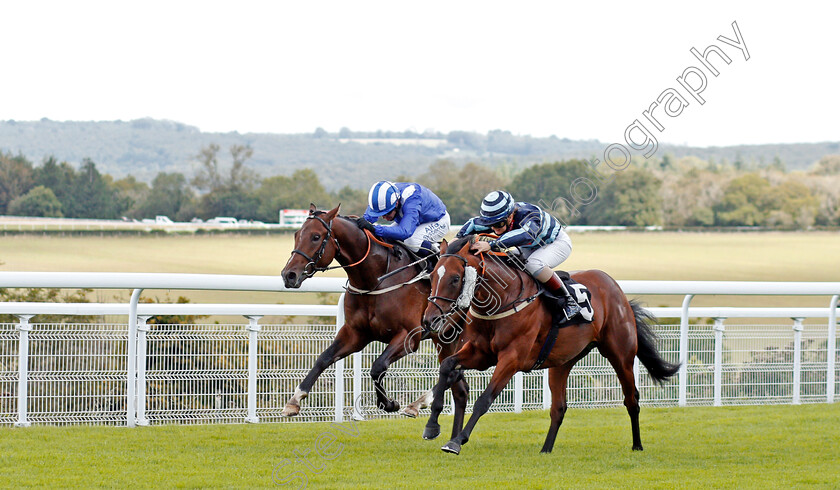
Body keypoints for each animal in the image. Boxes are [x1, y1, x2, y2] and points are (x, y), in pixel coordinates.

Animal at [280, 204, 466, 436]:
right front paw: (294, 400)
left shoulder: (408, 336)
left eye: (316, 236)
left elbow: (377, 366)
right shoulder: (355, 333)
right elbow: (323, 359)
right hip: (444, 336)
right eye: (297, 234)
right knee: (457, 375)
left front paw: (389, 404)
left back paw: (417, 404)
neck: (375, 279)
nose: (289, 275)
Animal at [424, 235, 680, 454]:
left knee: (631, 398)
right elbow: (447, 366)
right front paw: (432, 425)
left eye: (455, 278)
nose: (429, 320)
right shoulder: (481, 354)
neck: (503, 299)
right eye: (433, 275)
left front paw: (456, 441)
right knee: (559, 408)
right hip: (561, 363)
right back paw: (546, 449)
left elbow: (484, 400)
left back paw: (637, 445)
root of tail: (616, 289)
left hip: (621, 354)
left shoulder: (512, 359)